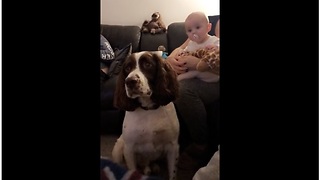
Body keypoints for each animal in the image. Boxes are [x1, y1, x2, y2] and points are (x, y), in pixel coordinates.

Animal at [111, 51, 179, 180]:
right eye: (127, 68)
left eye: (147, 64)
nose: (130, 81)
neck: (148, 110)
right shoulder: (129, 149)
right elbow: (131, 171)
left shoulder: (172, 146)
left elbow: (172, 173)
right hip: (118, 148)